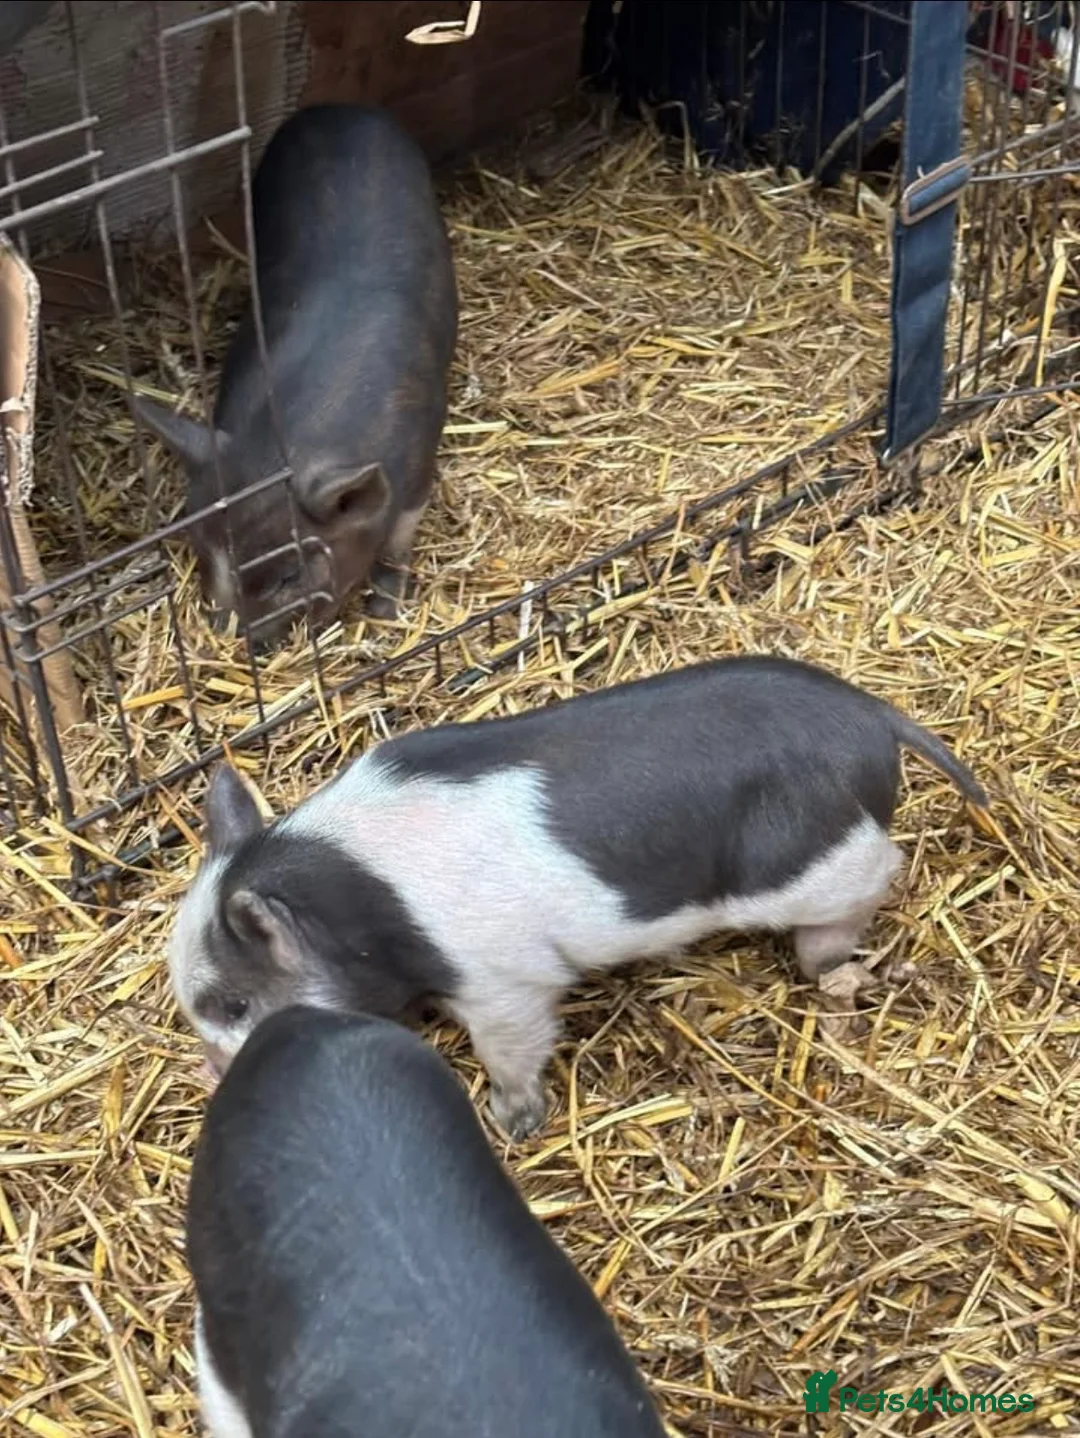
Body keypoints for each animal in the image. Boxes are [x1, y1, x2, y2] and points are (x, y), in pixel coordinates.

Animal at [135, 104, 458, 645]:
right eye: (202, 552)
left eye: (288, 576)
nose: (235, 637)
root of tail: (338, 107)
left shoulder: (418, 464)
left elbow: (398, 539)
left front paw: (386, 611)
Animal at [169, 654, 987, 1140]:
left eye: (234, 1005)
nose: (212, 1074)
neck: (359, 903)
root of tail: (873, 718)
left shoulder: (503, 980)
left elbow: (512, 1046)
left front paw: (511, 1123)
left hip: (808, 863)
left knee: (882, 871)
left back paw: (824, 967)